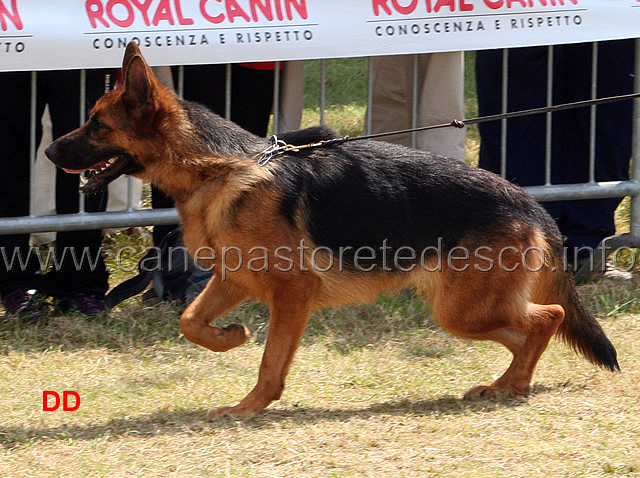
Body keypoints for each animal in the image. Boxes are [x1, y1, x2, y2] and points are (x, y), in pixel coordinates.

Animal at [43, 44, 616, 418]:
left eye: (97, 124)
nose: (48, 151)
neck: (218, 166)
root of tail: (533, 205)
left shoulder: (292, 293)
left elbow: (270, 363)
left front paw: (248, 406)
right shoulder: (232, 281)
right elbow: (190, 321)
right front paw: (231, 337)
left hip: (463, 307)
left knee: (549, 316)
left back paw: (513, 383)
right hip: (460, 308)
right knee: (532, 329)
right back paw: (507, 385)